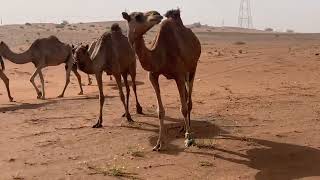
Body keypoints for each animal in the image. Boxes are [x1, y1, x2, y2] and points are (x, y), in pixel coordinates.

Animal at [121, 9, 201, 150]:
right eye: (138, 16)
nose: (156, 14)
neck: (160, 55)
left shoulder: (179, 75)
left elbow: (183, 108)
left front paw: (188, 138)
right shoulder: (153, 76)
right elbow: (160, 111)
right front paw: (159, 143)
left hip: (192, 68)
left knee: (188, 101)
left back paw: (188, 130)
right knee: (186, 97)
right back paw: (183, 127)